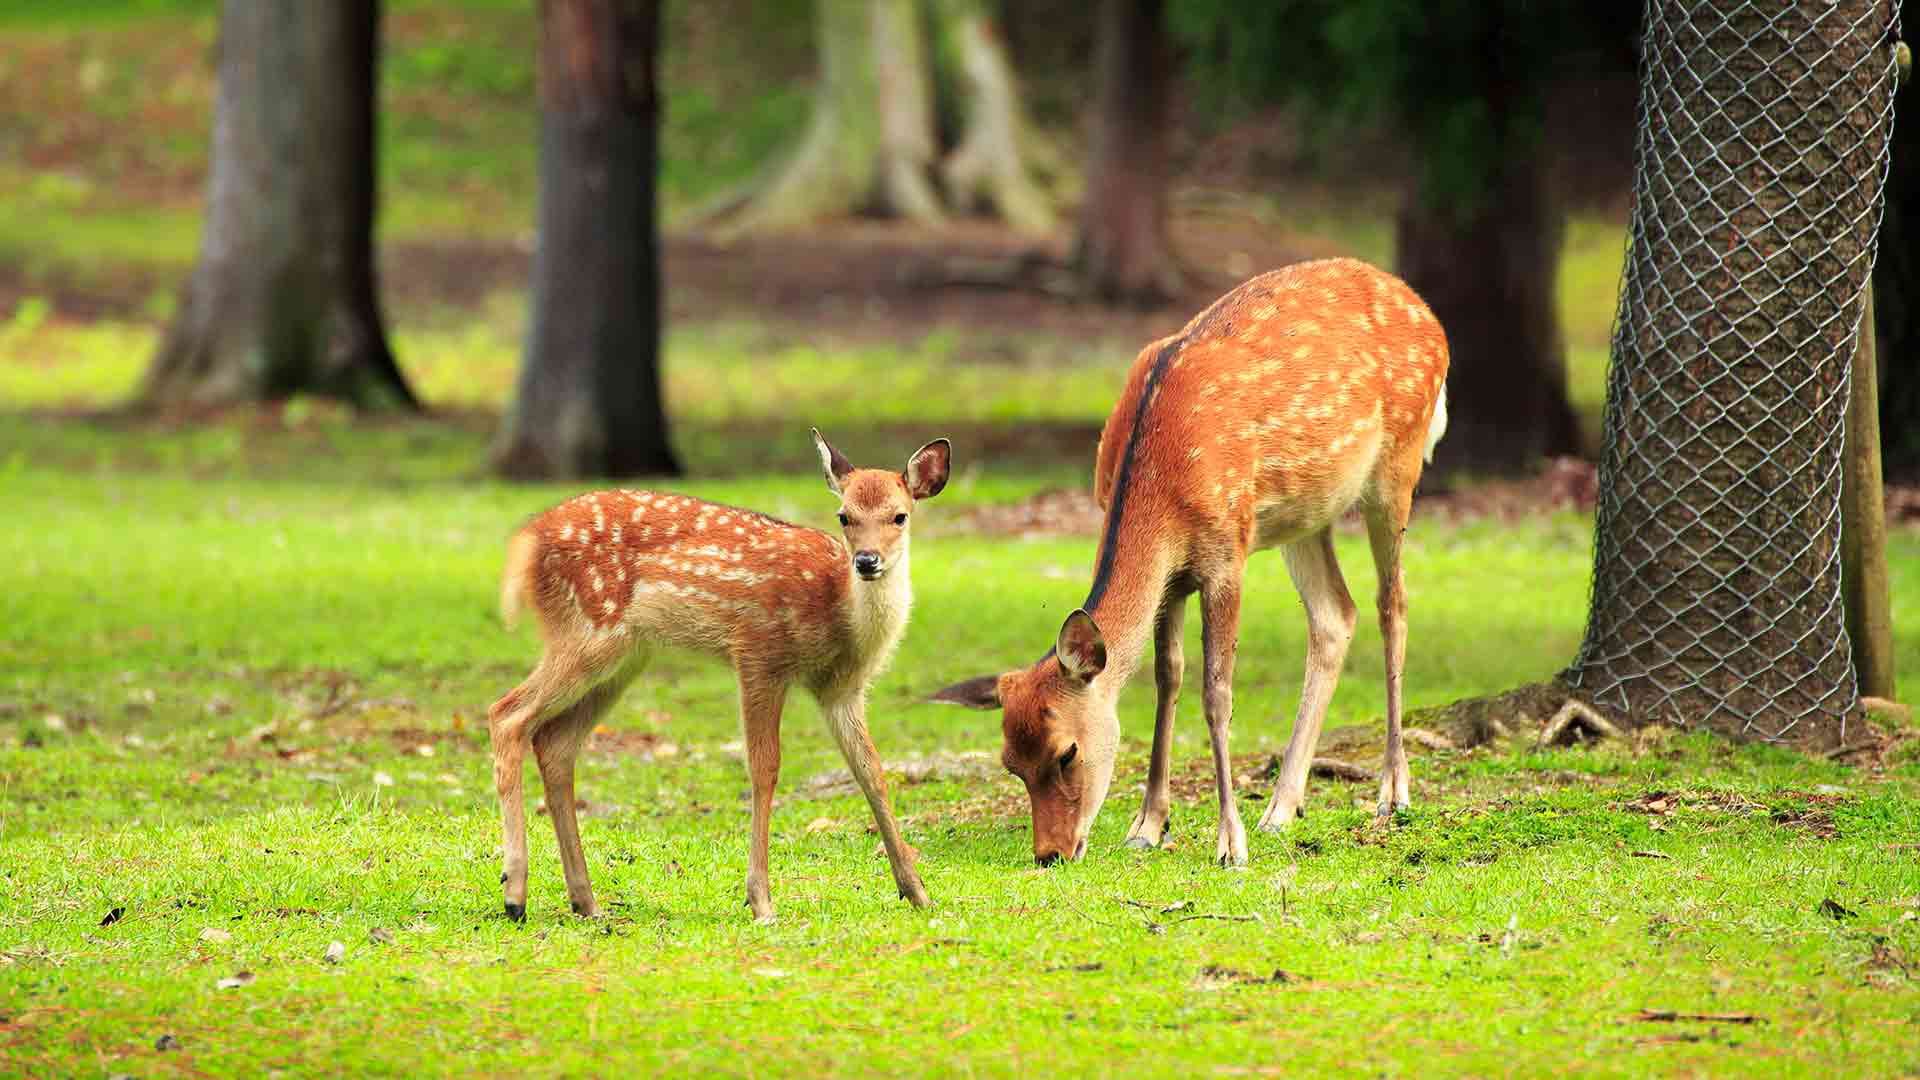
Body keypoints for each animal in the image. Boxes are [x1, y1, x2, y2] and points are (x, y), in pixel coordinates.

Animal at [488, 430, 951, 923]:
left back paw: (586, 900)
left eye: (900, 516)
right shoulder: (758, 653)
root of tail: (525, 541)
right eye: (844, 515)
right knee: (507, 713)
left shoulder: (841, 689)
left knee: (555, 741)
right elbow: (765, 767)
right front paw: (761, 900)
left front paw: (916, 890)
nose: (866, 560)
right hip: (587, 630)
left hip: (624, 656)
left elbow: (871, 770)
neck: (839, 613)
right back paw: (515, 893)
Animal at [934, 258, 1448, 867]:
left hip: (1398, 465)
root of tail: (1428, 314)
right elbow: (1167, 679)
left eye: (1066, 752)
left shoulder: (1227, 552)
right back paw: (1281, 808)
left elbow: (1216, 693)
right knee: (1335, 614)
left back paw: (1392, 792)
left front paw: (1230, 843)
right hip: (1306, 513)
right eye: (1011, 764)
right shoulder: (1173, 579)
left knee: (1393, 605)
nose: (1050, 853)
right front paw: (1148, 825)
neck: (1162, 483)